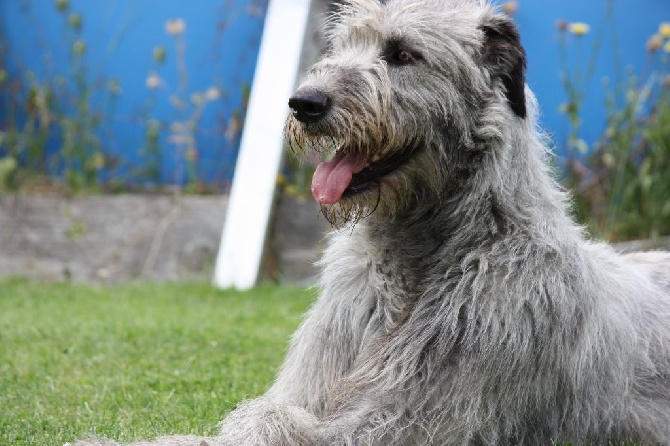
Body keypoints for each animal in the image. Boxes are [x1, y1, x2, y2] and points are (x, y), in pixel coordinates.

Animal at [80, 0, 670, 446]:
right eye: (339, 47)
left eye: (402, 53)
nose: (303, 102)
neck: (422, 256)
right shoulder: (316, 386)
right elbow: (252, 418)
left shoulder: (400, 421)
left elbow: (269, 424)